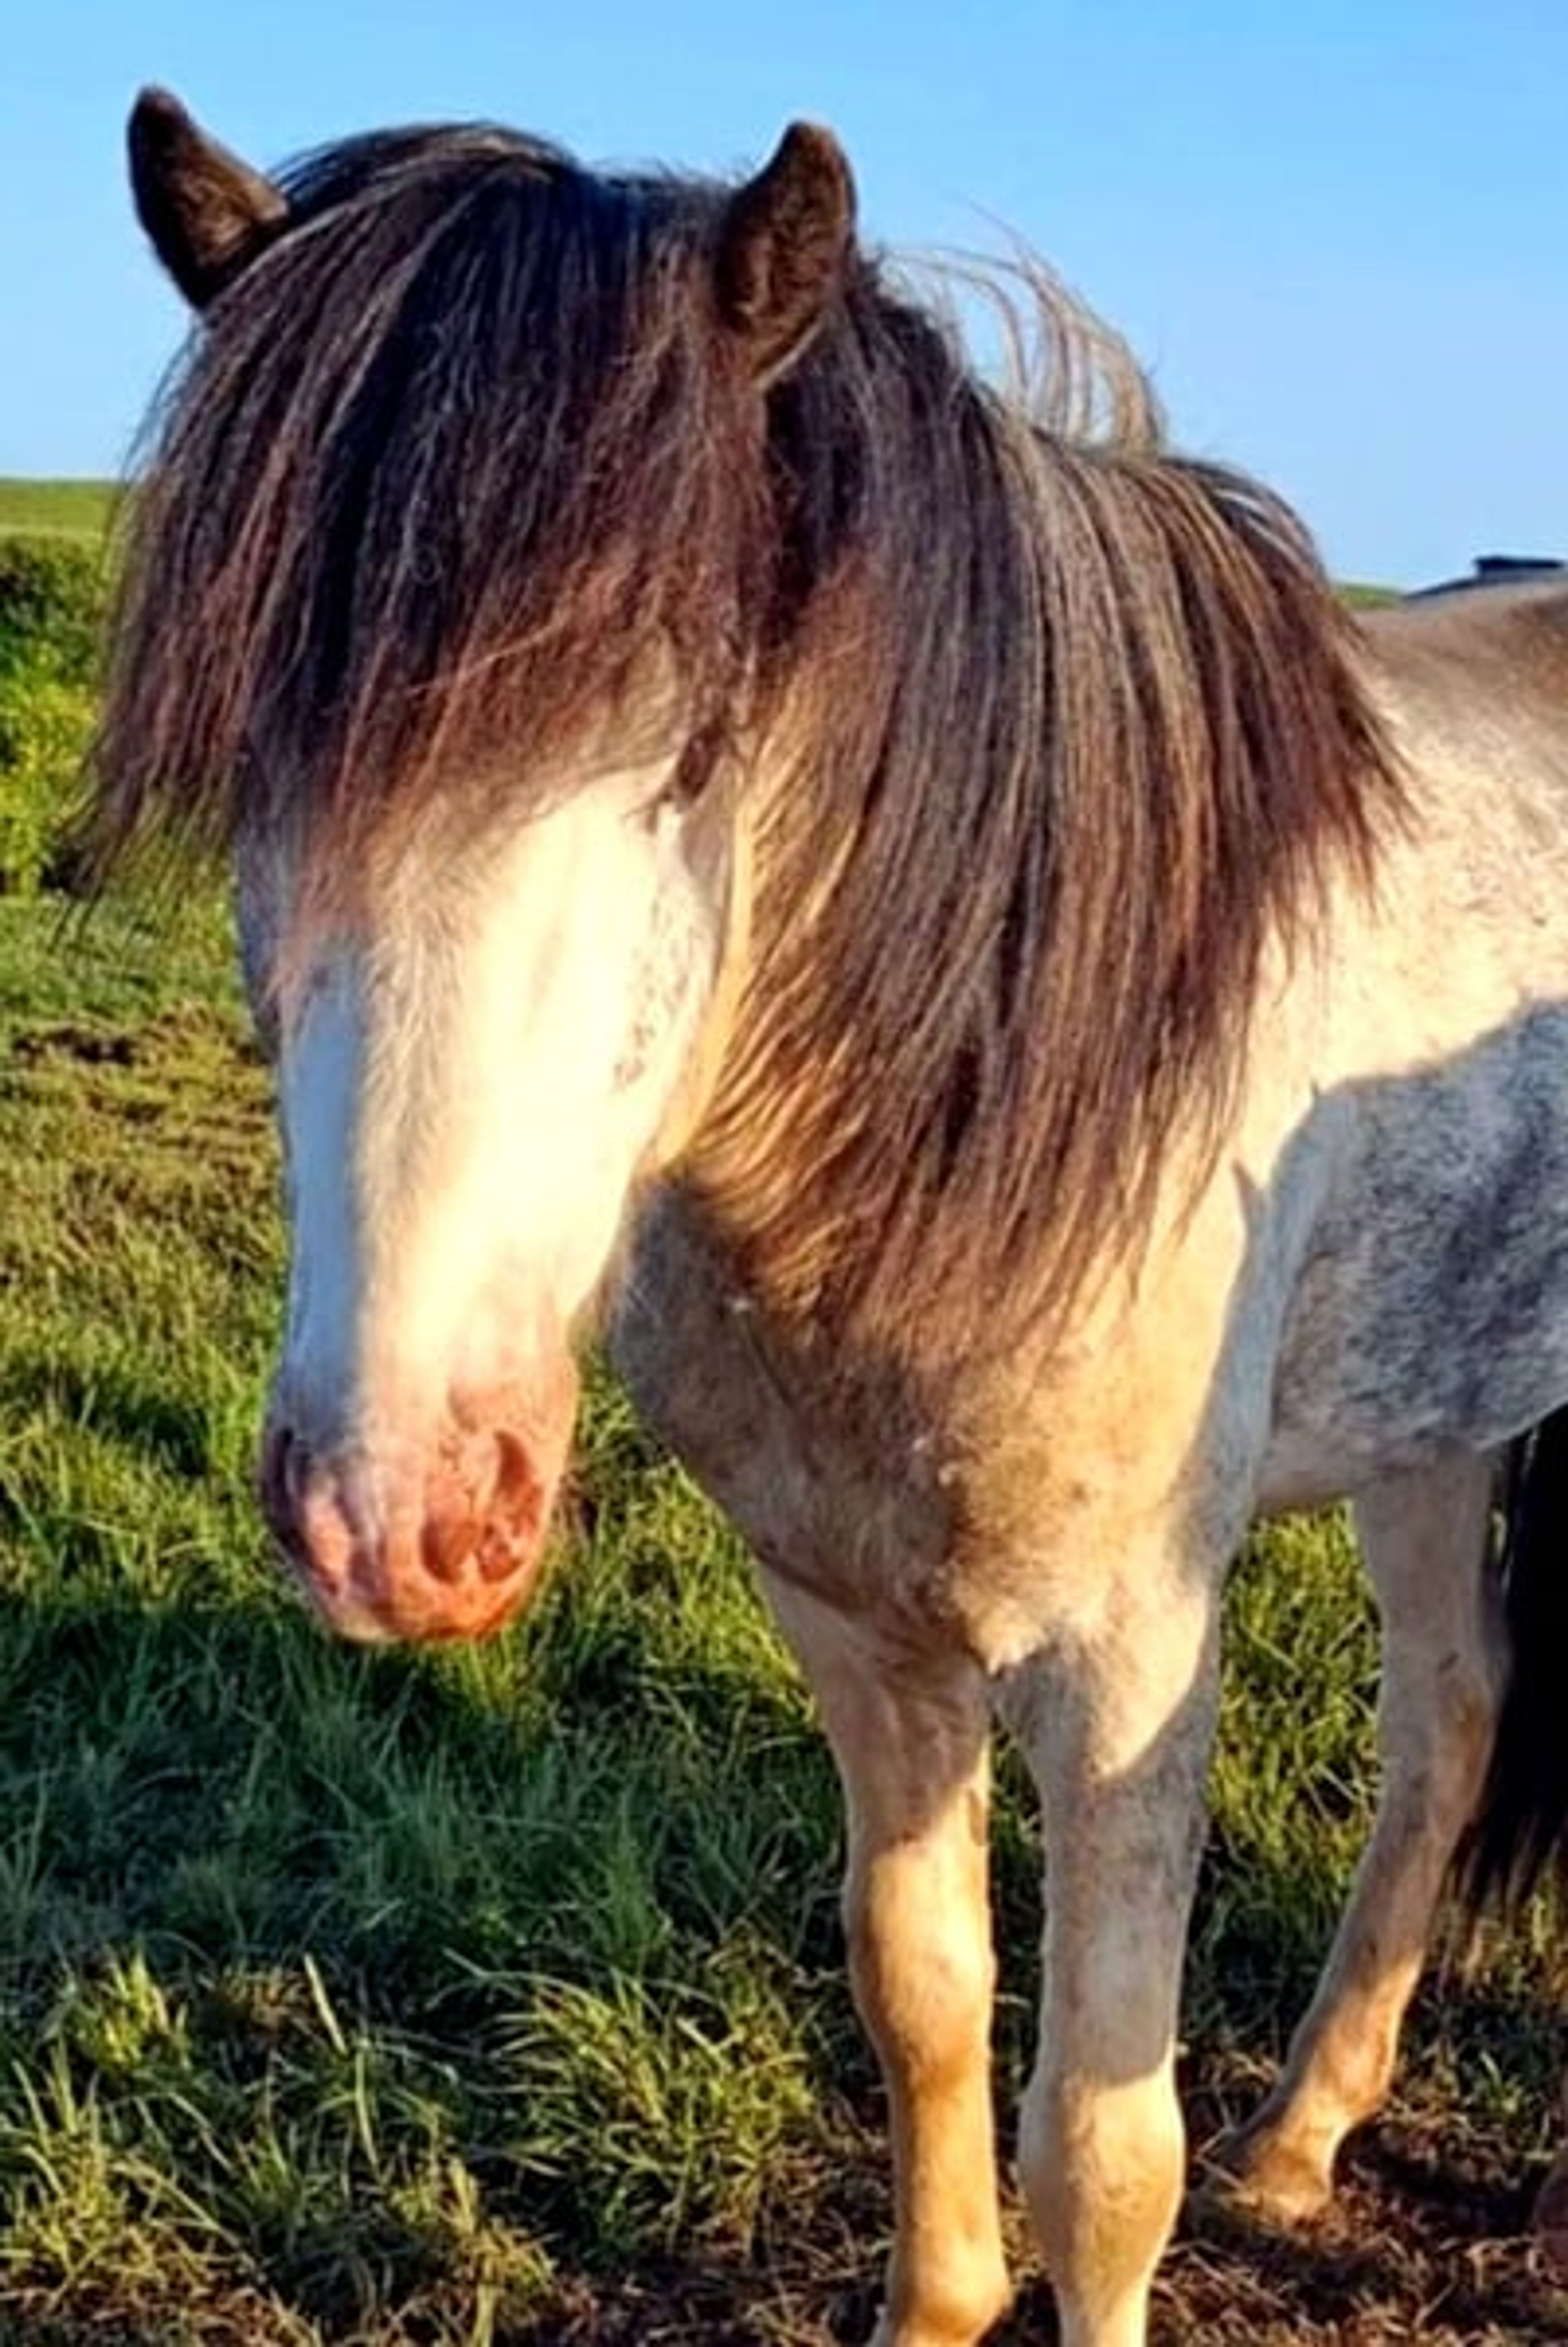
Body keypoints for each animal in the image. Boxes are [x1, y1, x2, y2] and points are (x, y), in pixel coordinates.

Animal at [87, 86, 1568, 2347]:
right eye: (259, 748)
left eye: (696, 750)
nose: (391, 1513)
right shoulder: (851, 1620)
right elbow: (924, 2004)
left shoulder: (1132, 1656)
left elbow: (1100, 2157)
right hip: (1433, 1411)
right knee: (1452, 1713)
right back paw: (1306, 2136)